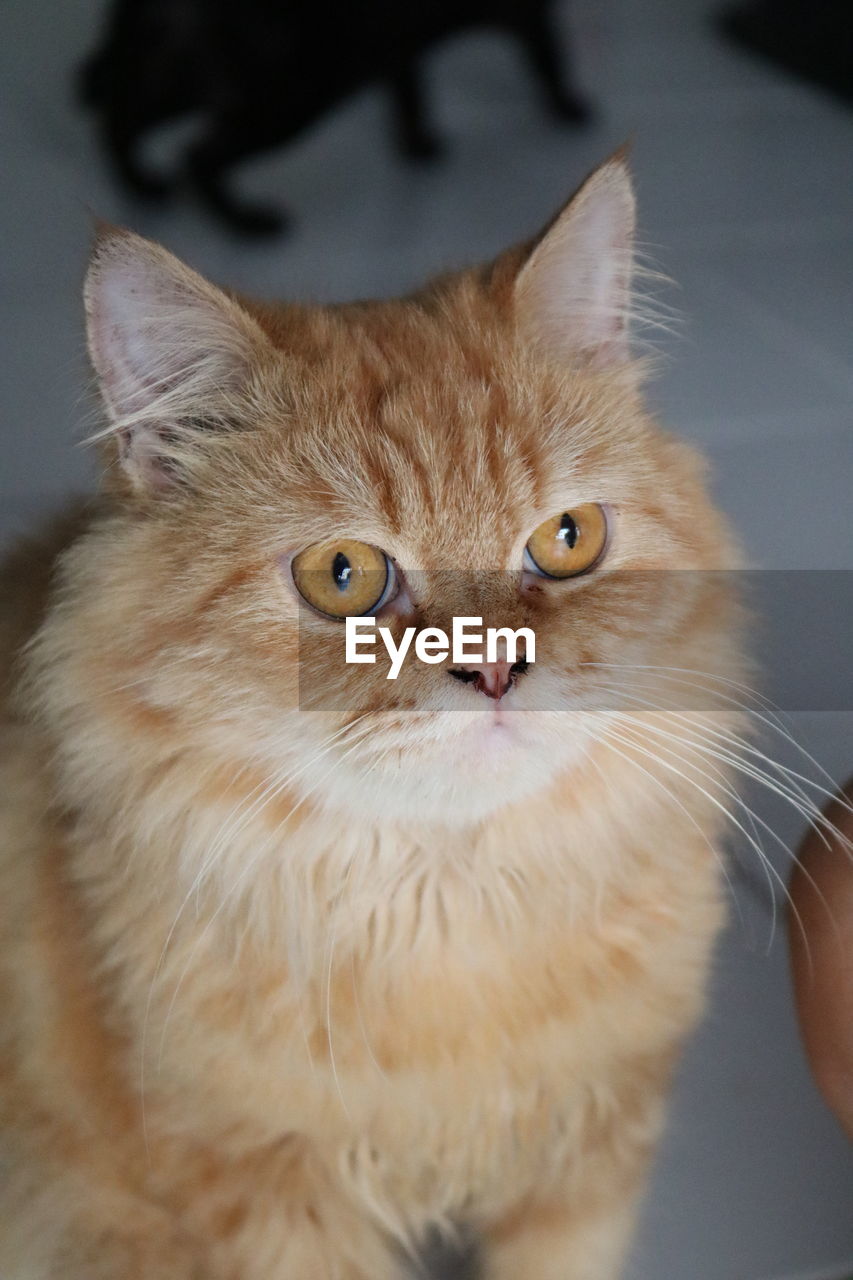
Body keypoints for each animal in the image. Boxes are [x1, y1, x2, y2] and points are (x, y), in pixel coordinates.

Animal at [0, 160, 742, 1280]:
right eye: (342, 575)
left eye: (567, 539)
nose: (493, 667)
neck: (450, 918)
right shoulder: (263, 1198)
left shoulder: (587, 1163)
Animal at [76, 0, 589, 234]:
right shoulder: (528, 15)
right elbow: (551, 63)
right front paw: (572, 108)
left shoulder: (395, 45)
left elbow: (409, 90)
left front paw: (418, 144)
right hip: (286, 96)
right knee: (197, 155)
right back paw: (250, 224)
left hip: (193, 78)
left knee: (121, 115)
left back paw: (142, 184)